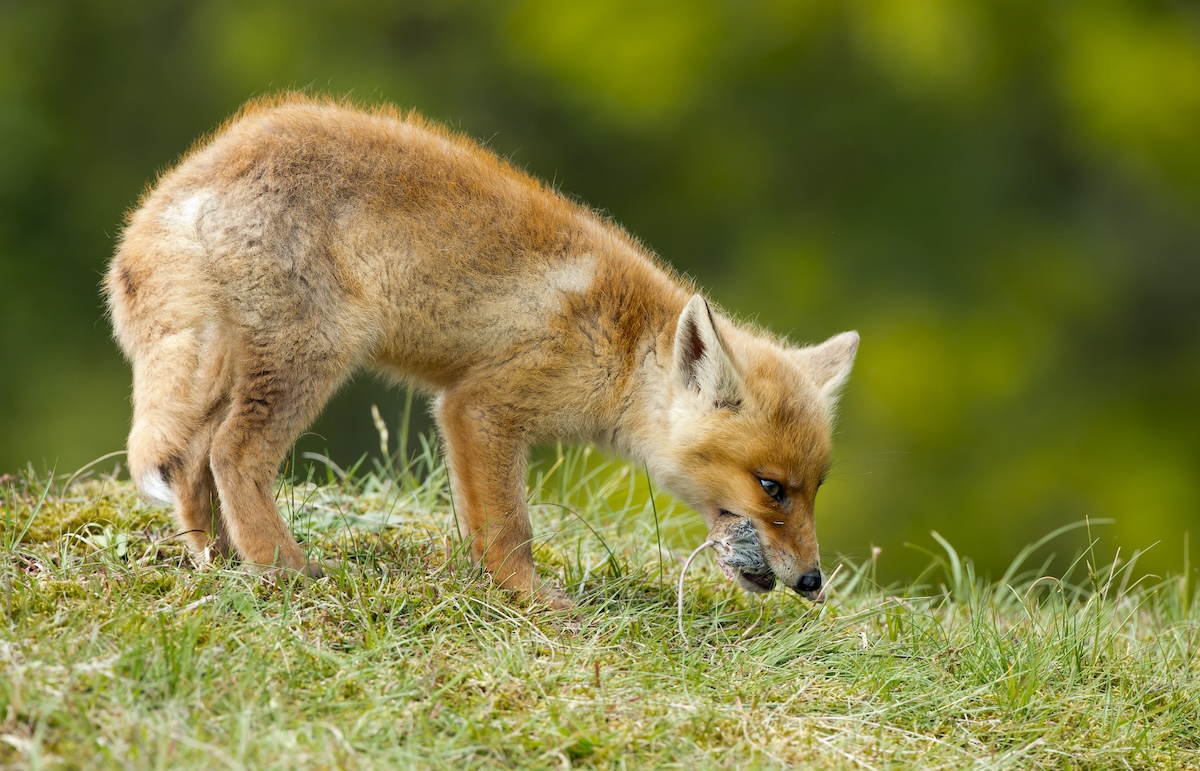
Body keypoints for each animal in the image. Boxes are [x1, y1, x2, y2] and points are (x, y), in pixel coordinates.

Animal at [105, 94, 858, 609]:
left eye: (816, 487)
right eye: (772, 487)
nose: (814, 580)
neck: (620, 348)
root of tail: (181, 185)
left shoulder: (468, 411)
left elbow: (481, 526)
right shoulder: (481, 407)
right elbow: (509, 528)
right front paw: (530, 599)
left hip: (225, 370)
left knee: (193, 464)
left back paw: (216, 557)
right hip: (307, 361)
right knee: (233, 455)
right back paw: (281, 568)